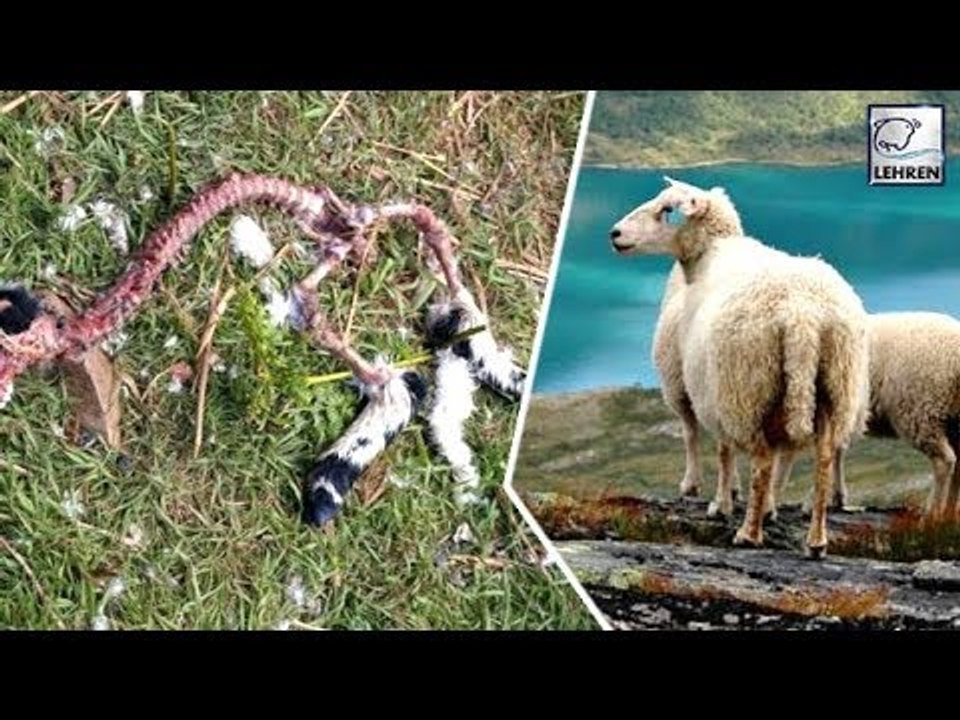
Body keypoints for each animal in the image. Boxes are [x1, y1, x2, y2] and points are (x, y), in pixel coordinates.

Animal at [610, 177, 870, 557]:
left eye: (667, 209)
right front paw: (753, 504)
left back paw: (749, 533)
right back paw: (815, 541)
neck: (710, 254)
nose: (614, 233)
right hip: (832, 385)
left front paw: (719, 502)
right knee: (821, 458)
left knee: (761, 459)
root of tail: (803, 313)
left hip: (746, 385)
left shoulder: (707, 384)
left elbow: (715, 446)